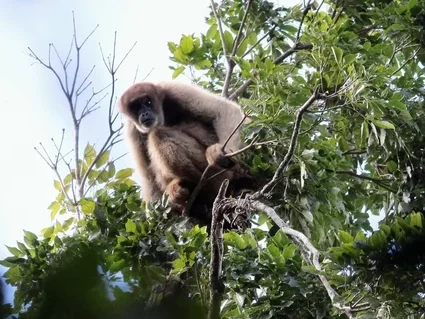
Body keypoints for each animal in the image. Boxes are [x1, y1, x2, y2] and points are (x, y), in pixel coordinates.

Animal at [116, 80, 248, 220]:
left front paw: (223, 153)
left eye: (148, 103)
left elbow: (223, 110)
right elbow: (148, 177)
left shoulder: (172, 89)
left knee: (158, 134)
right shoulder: (132, 128)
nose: (144, 113)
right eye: (136, 107)